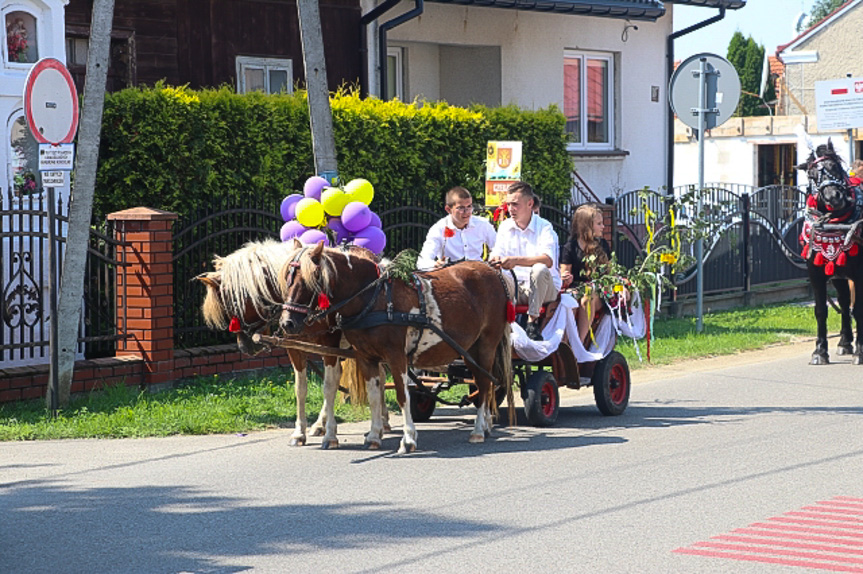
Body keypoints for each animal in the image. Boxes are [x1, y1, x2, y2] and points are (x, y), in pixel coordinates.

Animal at [278, 243, 512, 454]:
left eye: (310, 279)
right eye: (287, 279)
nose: (287, 323)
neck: (375, 297)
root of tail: (492, 270)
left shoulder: (396, 355)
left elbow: (402, 394)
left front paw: (408, 439)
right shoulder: (366, 357)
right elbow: (374, 394)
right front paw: (374, 436)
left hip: (486, 344)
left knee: (484, 383)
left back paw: (479, 429)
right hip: (469, 350)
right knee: (485, 382)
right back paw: (486, 425)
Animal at [796, 139, 863, 364]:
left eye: (834, 166)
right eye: (811, 174)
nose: (834, 197)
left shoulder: (860, 275)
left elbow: (859, 309)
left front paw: (860, 352)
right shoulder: (816, 273)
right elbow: (821, 311)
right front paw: (819, 351)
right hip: (838, 274)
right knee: (843, 301)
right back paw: (844, 342)